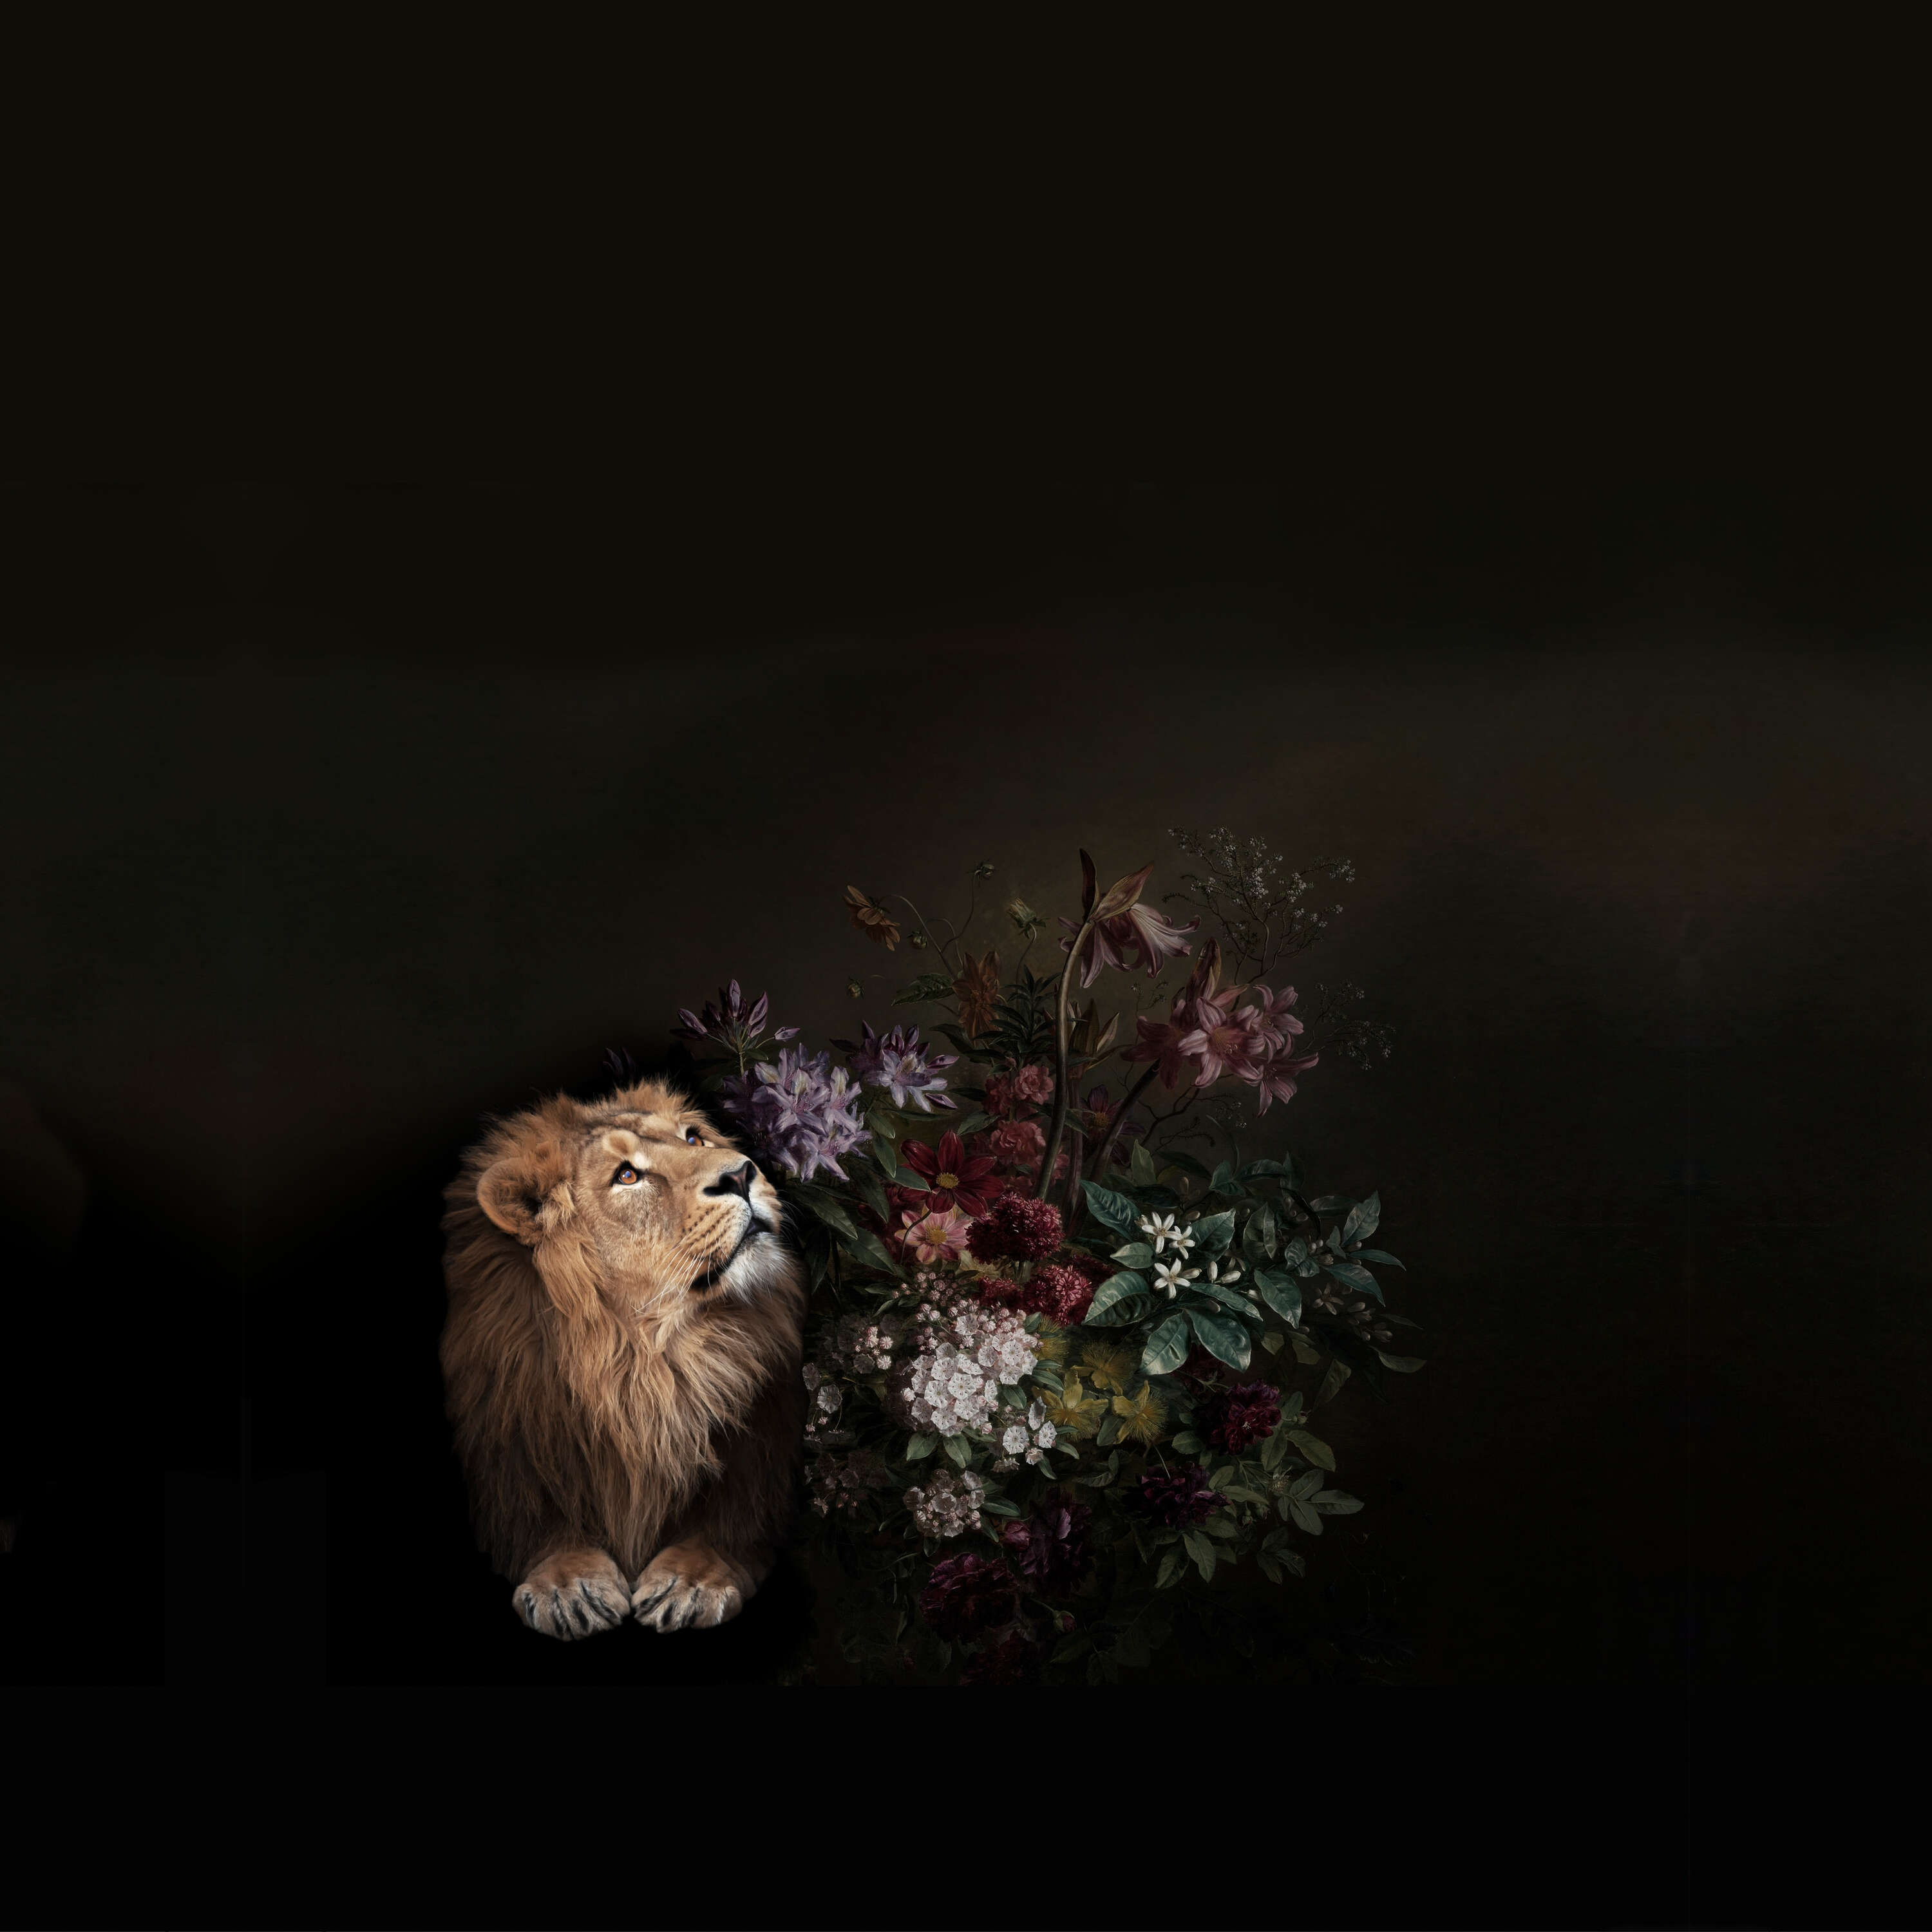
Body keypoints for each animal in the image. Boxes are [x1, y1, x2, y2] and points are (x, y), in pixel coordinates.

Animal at [439, 1076, 805, 1639]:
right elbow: (542, 1525)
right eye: (627, 1176)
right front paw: (569, 1587)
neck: (645, 1361)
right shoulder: (516, 1450)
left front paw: (692, 1582)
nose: (742, 1173)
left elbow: (729, 1523)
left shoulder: (755, 1452)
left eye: (693, 1137)